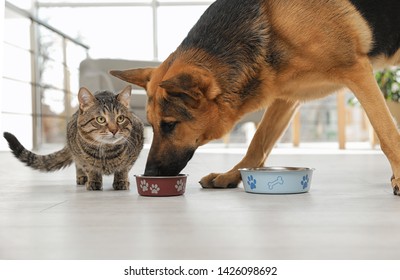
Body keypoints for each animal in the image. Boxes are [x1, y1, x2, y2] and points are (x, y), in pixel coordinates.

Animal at [2, 85, 144, 190]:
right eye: (101, 119)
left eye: (120, 118)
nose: (114, 130)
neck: (106, 151)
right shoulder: (80, 155)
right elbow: (89, 168)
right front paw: (94, 181)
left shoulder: (136, 148)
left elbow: (124, 168)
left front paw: (121, 180)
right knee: (78, 164)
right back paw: (82, 177)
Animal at [110, 0, 400, 195]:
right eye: (152, 125)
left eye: (170, 125)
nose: (150, 174)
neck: (272, 21)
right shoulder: (286, 98)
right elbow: (258, 143)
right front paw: (231, 175)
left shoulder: (358, 73)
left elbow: (387, 135)